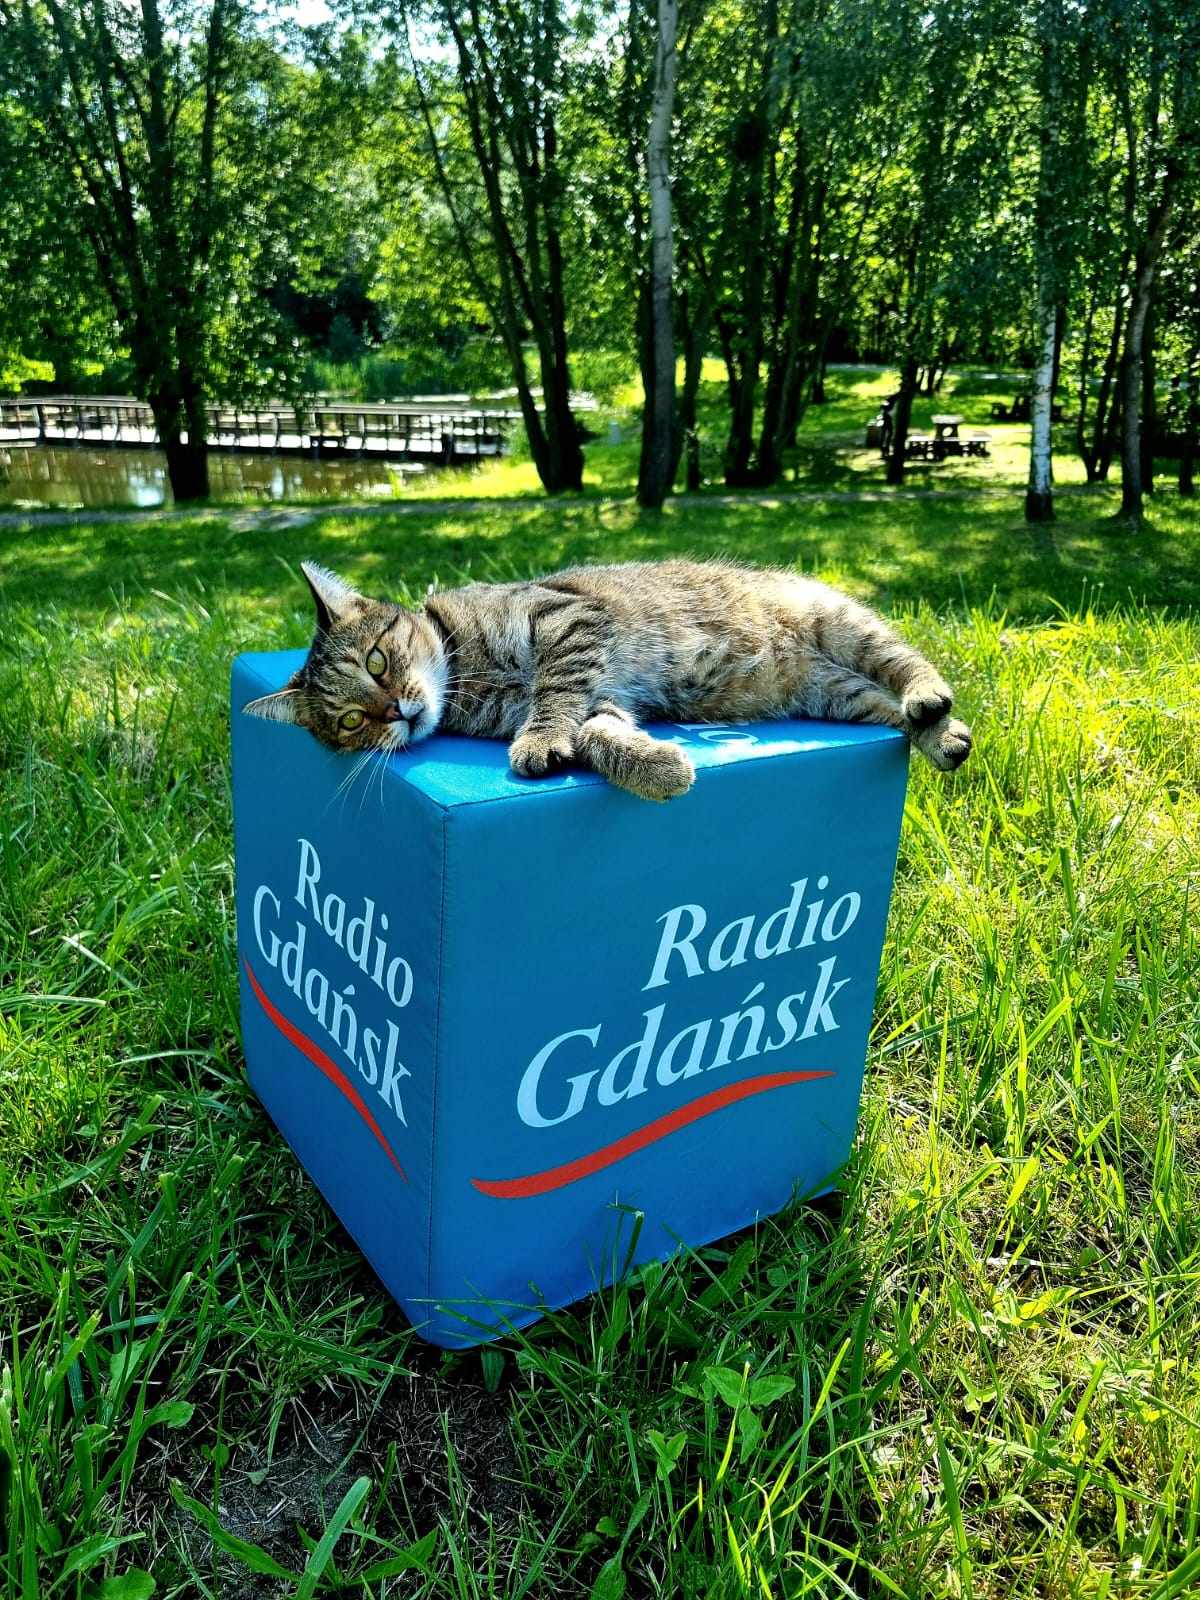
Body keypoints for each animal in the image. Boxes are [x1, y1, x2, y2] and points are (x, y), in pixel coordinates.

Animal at [243, 560, 972, 801]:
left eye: (376, 661)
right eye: (350, 722)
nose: (396, 712)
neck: (467, 673)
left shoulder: (566, 622)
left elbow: (555, 693)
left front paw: (540, 741)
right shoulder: (604, 701)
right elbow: (596, 734)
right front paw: (659, 768)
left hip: (840, 625)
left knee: (904, 666)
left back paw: (931, 700)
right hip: (832, 694)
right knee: (888, 711)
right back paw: (942, 737)